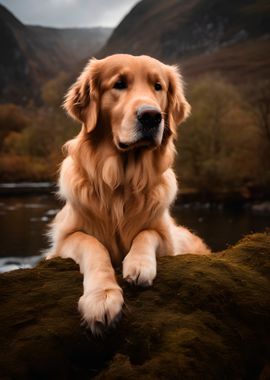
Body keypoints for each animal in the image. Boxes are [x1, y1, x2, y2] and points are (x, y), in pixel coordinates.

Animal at [46, 54, 209, 336]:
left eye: (158, 87)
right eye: (119, 84)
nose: (152, 116)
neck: (121, 183)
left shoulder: (166, 237)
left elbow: (146, 233)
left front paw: (139, 264)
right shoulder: (63, 240)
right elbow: (93, 245)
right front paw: (101, 297)